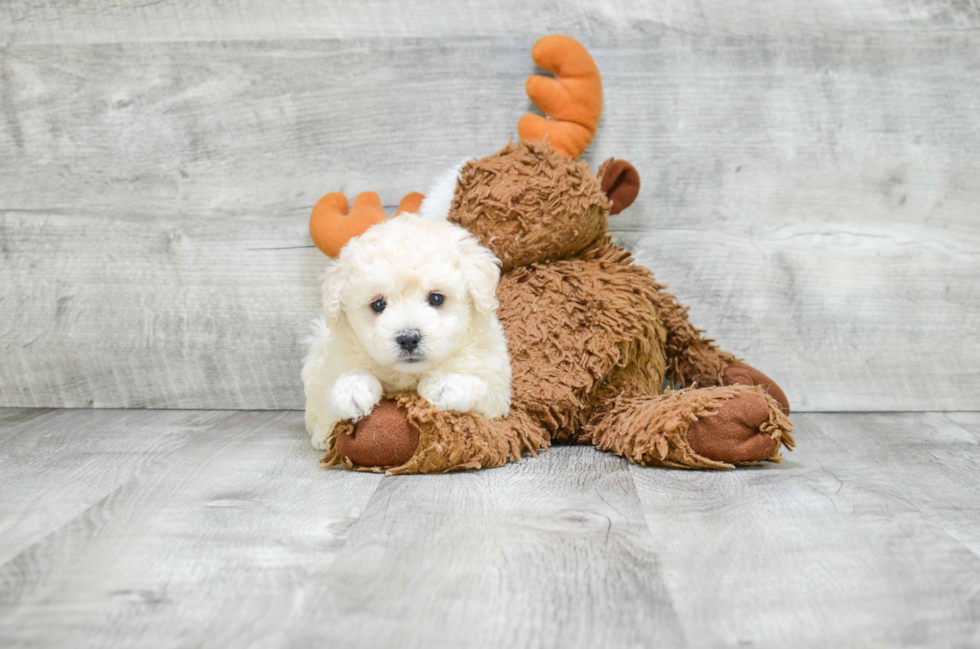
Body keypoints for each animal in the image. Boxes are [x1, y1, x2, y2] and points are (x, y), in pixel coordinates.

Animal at [302, 213, 510, 450]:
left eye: (436, 298)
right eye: (378, 305)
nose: (409, 339)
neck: (408, 375)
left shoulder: (496, 387)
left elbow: (482, 388)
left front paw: (446, 385)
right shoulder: (329, 363)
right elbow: (329, 393)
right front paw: (352, 390)